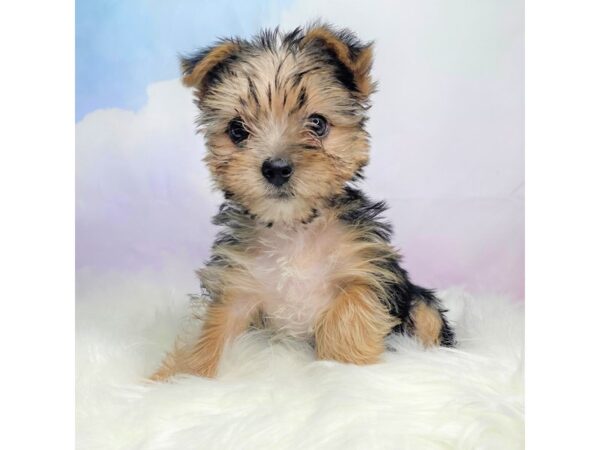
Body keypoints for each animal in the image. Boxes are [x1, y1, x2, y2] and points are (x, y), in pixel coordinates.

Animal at [151, 22, 454, 380]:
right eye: (237, 130)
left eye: (317, 123)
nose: (276, 168)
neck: (293, 227)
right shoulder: (236, 287)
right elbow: (212, 333)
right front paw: (178, 379)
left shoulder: (365, 271)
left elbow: (347, 318)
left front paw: (345, 368)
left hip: (420, 302)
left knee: (428, 318)